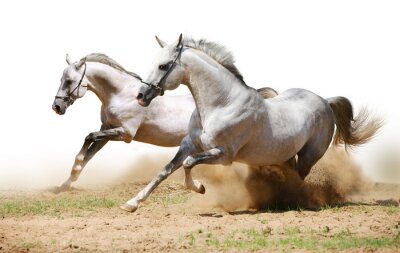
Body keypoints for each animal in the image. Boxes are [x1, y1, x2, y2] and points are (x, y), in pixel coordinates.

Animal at [51, 53, 276, 192]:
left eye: (69, 81)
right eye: (61, 79)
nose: (57, 107)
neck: (121, 94)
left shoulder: (124, 133)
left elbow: (88, 137)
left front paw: (73, 172)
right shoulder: (107, 129)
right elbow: (89, 152)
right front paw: (65, 184)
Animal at [121, 33, 382, 211]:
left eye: (163, 66)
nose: (141, 96)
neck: (221, 104)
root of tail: (325, 101)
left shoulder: (224, 155)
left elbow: (188, 164)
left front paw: (200, 188)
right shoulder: (189, 144)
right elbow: (165, 171)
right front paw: (132, 203)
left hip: (309, 155)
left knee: (300, 178)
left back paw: (297, 202)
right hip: (286, 155)